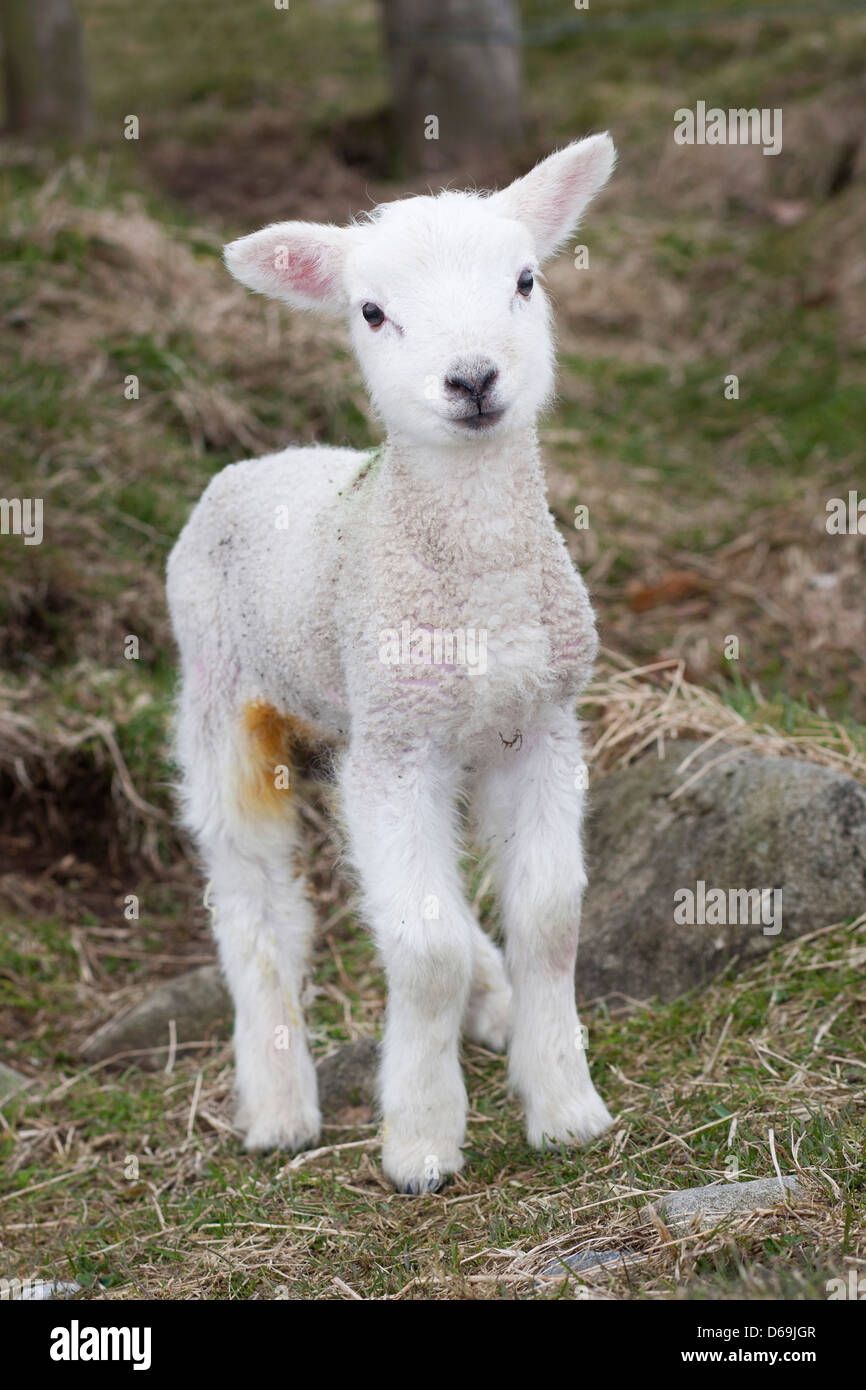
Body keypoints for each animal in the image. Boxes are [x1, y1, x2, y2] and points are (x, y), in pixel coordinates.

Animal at [166, 134, 616, 1193]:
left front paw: (566, 1106)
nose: (473, 379)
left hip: (348, 722)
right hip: (222, 696)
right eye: (371, 311)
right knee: (254, 900)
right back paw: (278, 1107)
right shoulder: (400, 750)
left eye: (526, 280)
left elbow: (549, 920)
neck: (482, 587)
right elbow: (424, 951)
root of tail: (259, 461)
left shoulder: (542, 725)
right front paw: (420, 1140)